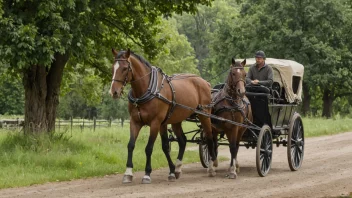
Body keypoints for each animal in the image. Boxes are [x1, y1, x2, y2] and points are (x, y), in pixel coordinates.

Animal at [110, 48, 216, 184]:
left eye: (124, 68)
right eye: (113, 67)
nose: (114, 92)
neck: (146, 90)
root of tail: (204, 82)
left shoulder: (155, 123)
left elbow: (149, 148)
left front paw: (147, 174)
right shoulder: (136, 122)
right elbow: (133, 145)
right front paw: (128, 173)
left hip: (204, 115)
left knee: (209, 138)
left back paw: (212, 167)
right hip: (176, 120)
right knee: (182, 141)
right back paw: (178, 168)